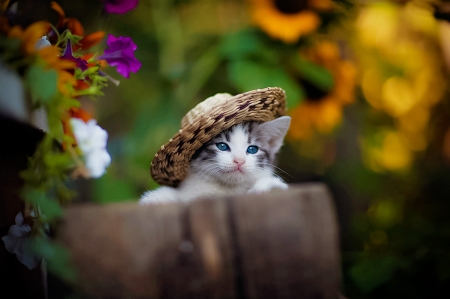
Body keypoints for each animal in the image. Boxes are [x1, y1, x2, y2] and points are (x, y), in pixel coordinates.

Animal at [139, 116, 290, 205]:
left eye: (252, 149)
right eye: (222, 146)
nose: (239, 161)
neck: (228, 189)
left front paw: (265, 187)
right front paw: (156, 198)